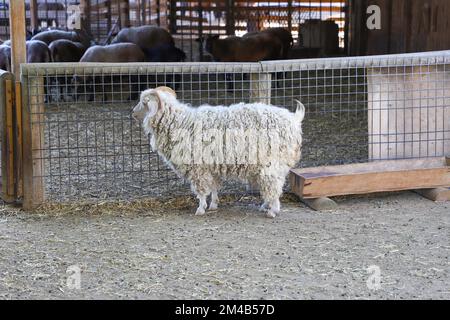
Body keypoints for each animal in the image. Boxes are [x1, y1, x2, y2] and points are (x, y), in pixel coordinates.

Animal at [132, 85, 304, 218]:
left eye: (144, 103)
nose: (132, 113)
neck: (180, 122)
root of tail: (294, 119)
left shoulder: (197, 167)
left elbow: (201, 190)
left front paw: (200, 209)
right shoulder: (210, 166)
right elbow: (214, 186)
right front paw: (213, 205)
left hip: (272, 163)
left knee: (273, 186)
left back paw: (272, 211)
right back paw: (266, 206)